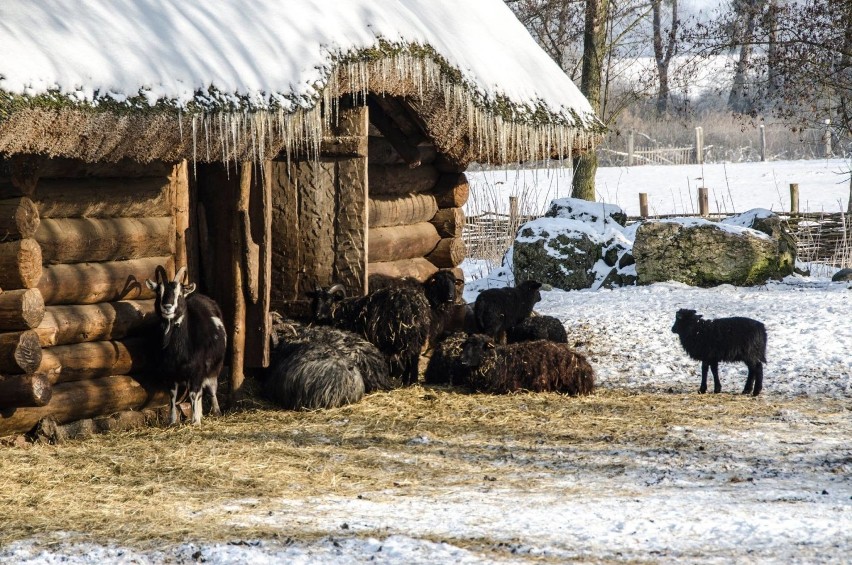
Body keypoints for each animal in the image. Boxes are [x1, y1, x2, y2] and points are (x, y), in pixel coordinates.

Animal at [146, 264, 226, 424]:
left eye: (180, 294)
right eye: (159, 292)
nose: (167, 306)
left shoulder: (197, 369)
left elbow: (194, 394)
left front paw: (195, 422)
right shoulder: (169, 372)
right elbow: (172, 395)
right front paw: (172, 421)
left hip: (214, 366)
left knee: (211, 388)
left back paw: (216, 411)